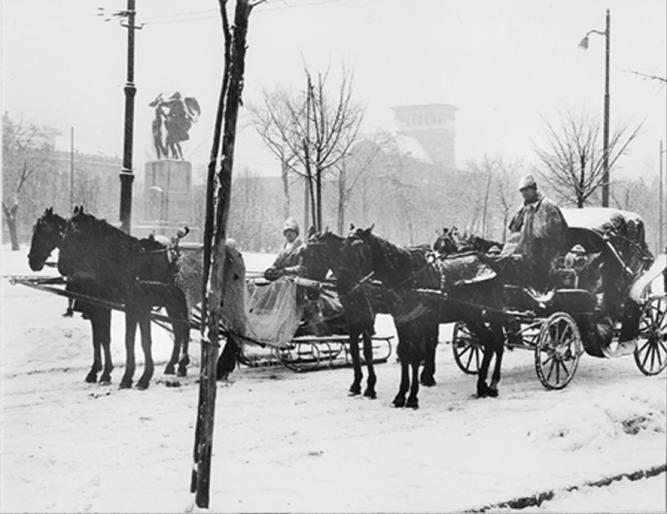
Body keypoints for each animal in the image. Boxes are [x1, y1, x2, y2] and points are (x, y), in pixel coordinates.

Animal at [57, 206, 190, 386]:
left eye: (77, 233)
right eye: (63, 232)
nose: (62, 266)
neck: (122, 263)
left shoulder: (137, 306)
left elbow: (138, 340)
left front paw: (138, 376)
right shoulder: (103, 306)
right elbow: (106, 339)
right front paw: (106, 373)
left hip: (177, 303)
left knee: (184, 329)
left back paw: (181, 364)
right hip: (171, 303)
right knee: (179, 330)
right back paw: (173, 365)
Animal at [344, 226, 506, 406]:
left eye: (360, 250)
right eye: (344, 247)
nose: (349, 284)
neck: (407, 278)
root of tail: (491, 263)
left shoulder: (421, 321)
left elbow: (417, 353)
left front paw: (413, 397)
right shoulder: (402, 320)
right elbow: (405, 353)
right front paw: (401, 395)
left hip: (491, 312)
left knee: (496, 342)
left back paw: (490, 383)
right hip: (472, 315)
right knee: (489, 341)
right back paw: (483, 385)